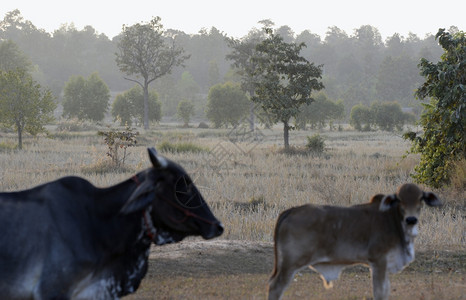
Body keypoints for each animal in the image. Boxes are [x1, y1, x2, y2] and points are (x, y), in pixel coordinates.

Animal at [268, 183, 442, 300]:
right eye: (399, 199)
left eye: (421, 198)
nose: (411, 219)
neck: (393, 220)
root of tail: (291, 210)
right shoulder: (378, 262)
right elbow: (379, 292)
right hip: (290, 264)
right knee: (276, 287)